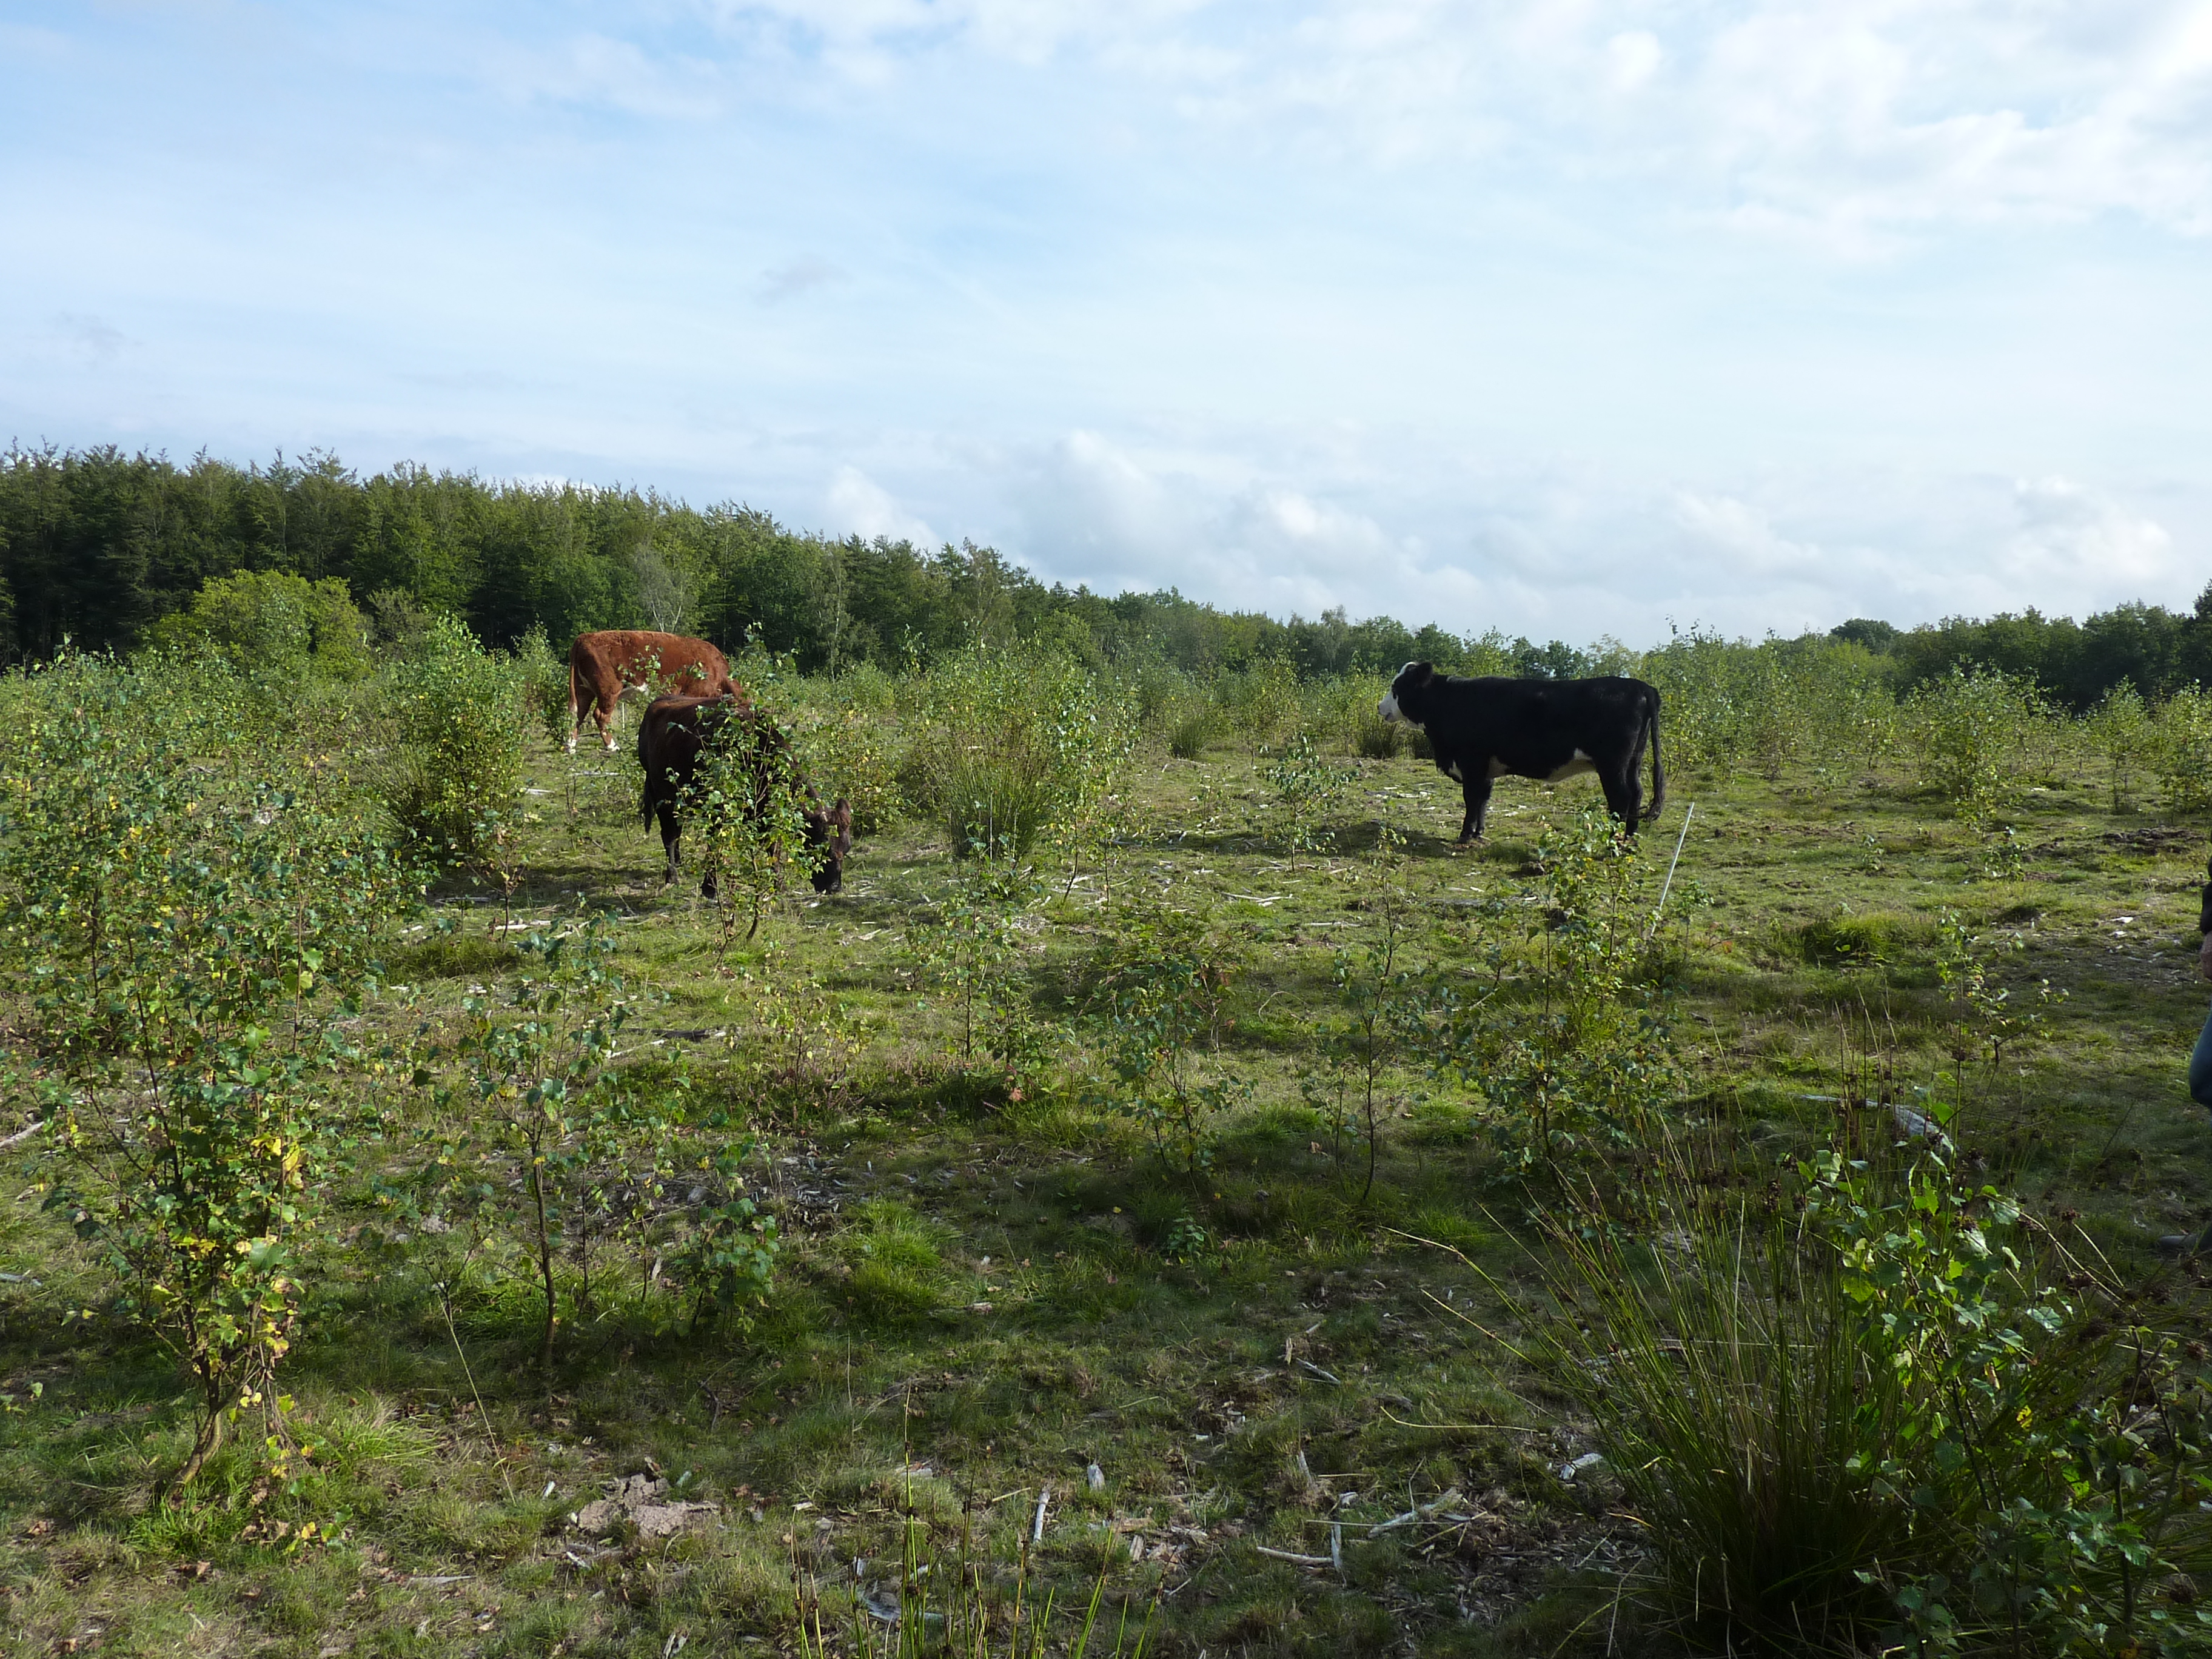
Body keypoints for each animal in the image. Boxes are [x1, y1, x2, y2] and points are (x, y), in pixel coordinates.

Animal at [566, 628, 748, 752]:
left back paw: (570, 746)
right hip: (609, 690)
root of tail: (585, 637)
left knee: (577, 714)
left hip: (583, 690)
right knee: (600, 715)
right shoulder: (695, 693)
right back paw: (612, 746)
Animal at [641, 699, 854, 911]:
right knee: (670, 836)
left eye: (847, 848)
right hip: (663, 797)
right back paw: (672, 877)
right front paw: (710, 888)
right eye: (822, 847)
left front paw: (778, 884)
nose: (834, 887)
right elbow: (715, 847)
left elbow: (773, 847)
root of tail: (658, 704)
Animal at [1371, 663, 1663, 845]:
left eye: (1397, 688)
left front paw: (1465, 835)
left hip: (1612, 765)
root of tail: (1640, 686)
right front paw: (1477, 833)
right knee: (1636, 793)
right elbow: (1483, 800)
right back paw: (1629, 839)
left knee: (1621, 798)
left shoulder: (1471, 762)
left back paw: (1614, 841)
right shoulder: (1486, 768)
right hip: (1632, 762)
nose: (1379, 707)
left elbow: (1471, 799)